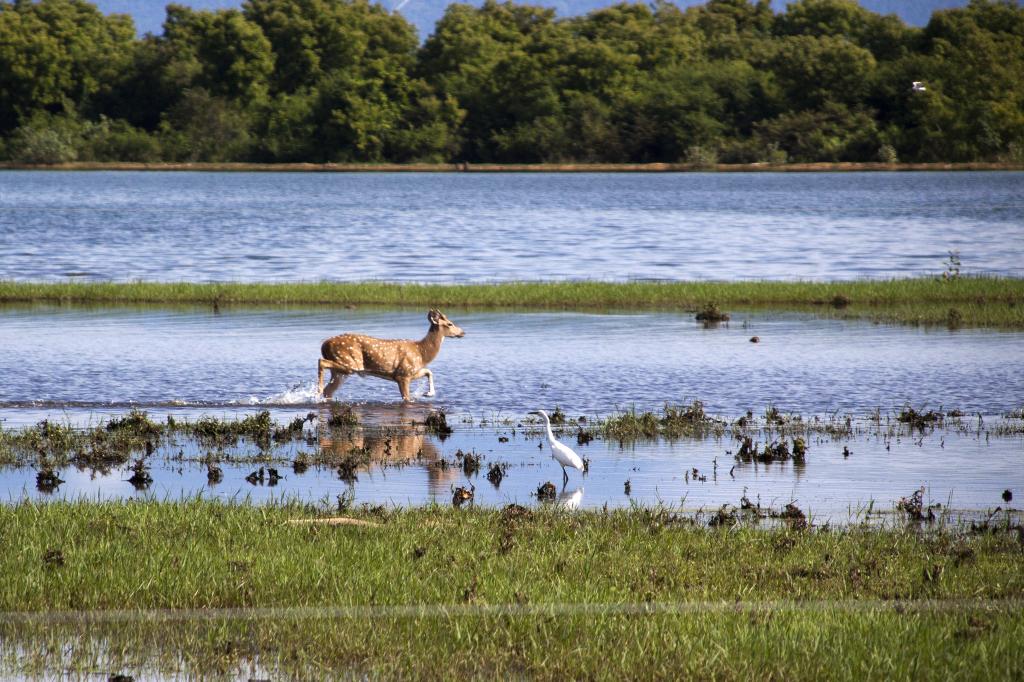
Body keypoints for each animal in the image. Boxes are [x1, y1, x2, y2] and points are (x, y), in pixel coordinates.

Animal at [317, 307, 466, 399]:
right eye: (450, 324)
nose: (463, 332)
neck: (421, 352)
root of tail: (325, 344)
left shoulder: (410, 372)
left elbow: (428, 372)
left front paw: (428, 393)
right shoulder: (403, 374)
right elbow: (407, 399)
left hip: (340, 371)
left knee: (328, 391)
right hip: (350, 362)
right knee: (321, 362)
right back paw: (318, 389)